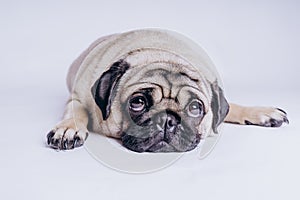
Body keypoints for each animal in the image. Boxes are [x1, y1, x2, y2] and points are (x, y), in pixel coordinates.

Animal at [46, 28, 288, 152]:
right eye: (137, 102)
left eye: (195, 108)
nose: (167, 119)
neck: (162, 52)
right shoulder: (78, 97)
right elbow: (77, 111)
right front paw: (69, 128)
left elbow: (228, 109)